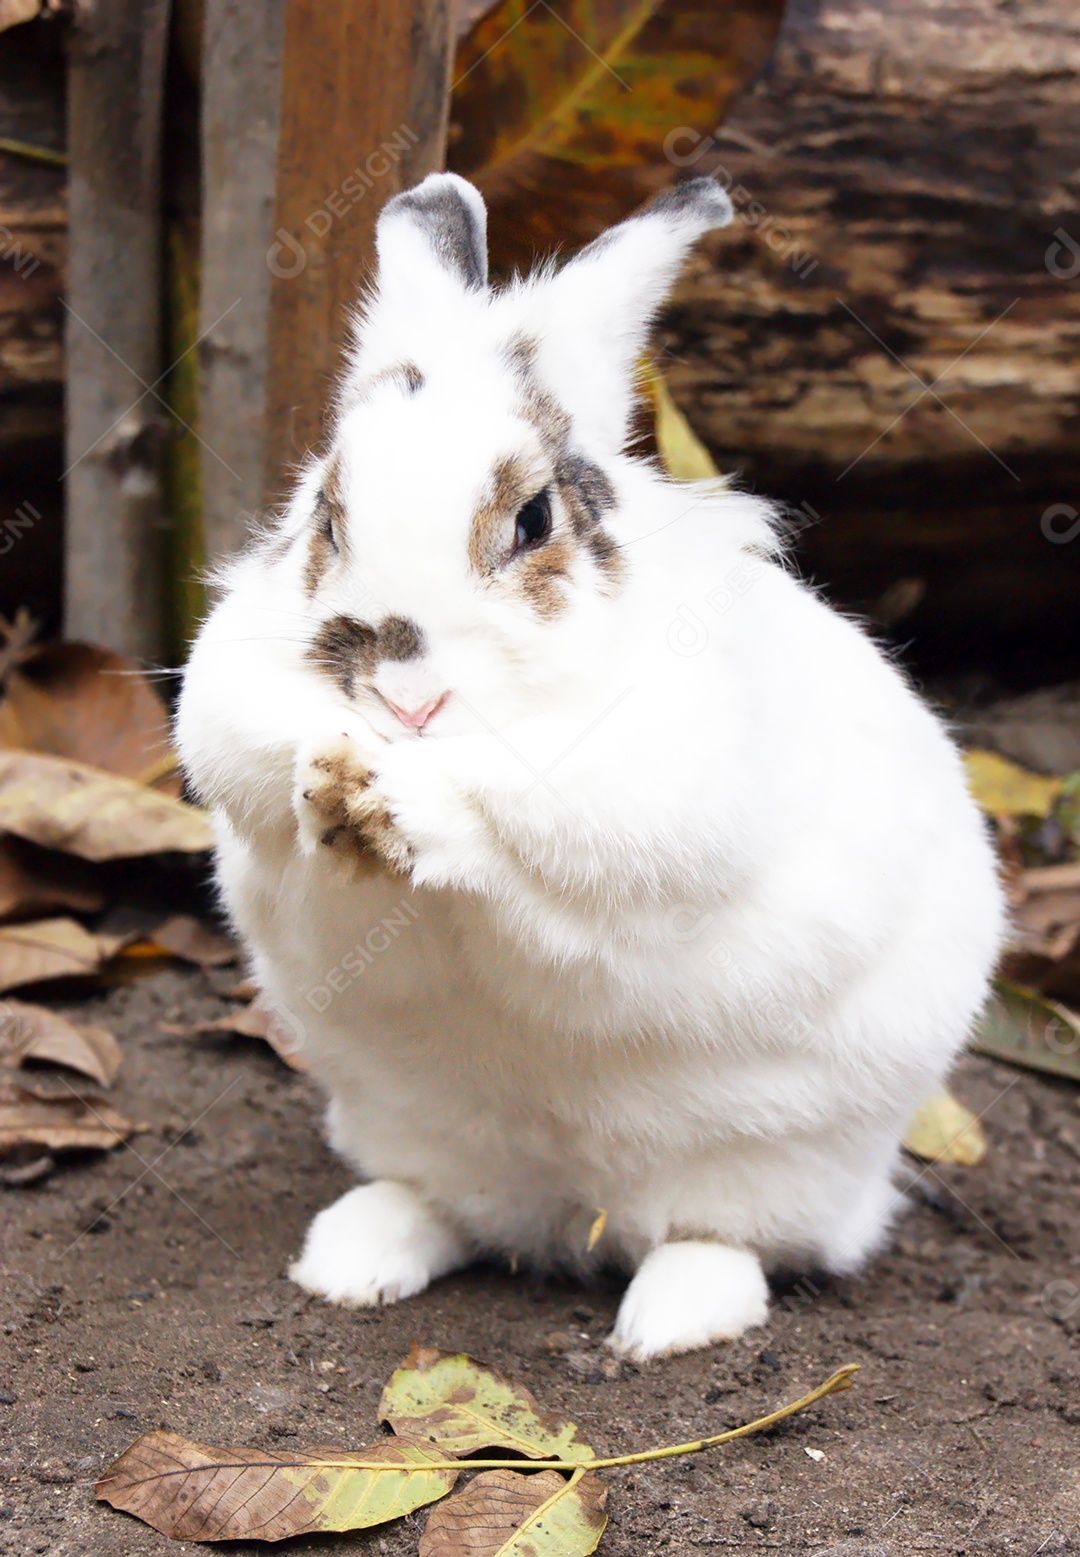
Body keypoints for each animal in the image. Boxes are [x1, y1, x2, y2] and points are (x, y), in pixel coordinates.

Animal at [175, 173, 1008, 1363]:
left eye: (534, 519)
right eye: (327, 519)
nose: (404, 700)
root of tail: (574, 1220)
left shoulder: (635, 805)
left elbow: (524, 850)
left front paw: (407, 803)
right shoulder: (234, 731)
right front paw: (330, 781)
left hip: (783, 1169)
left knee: (727, 1240)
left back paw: (668, 1321)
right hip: (407, 1124)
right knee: (445, 1207)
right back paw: (353, 1259)